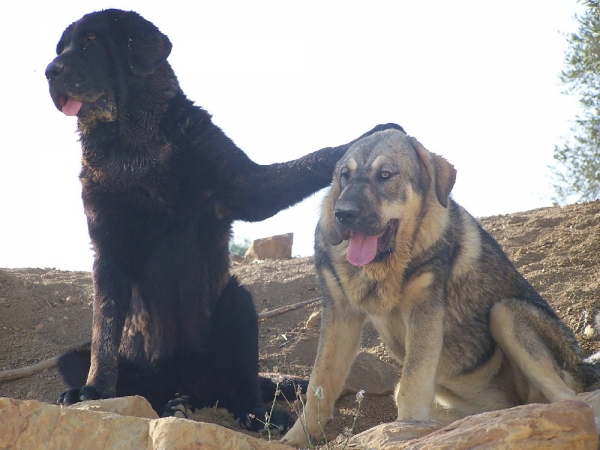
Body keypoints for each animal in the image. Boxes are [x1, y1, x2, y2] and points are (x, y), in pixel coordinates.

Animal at [45, 8, 404, 430]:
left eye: (90, 43)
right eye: (61, 48)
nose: (50, 70)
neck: (135, 146)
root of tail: (191, 386)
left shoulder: (248, 186)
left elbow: (314, 159)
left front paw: (377, 132)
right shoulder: (108, 249)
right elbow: (104, 334)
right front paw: (95, 391)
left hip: (237, 304)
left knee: (241, 387)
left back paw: (258, 413)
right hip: (80, 359)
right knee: (141, 387)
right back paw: (169, 404)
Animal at [282, 129, 600, 446]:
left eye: (386, 174)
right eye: (344, 176)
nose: (343, 214)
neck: (384, 269)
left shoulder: (424, 309)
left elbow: (413, 381)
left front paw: (404, 431)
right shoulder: (340, 313)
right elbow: (320, 385)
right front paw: (295, 438)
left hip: (506, 313)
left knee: (567, 396)